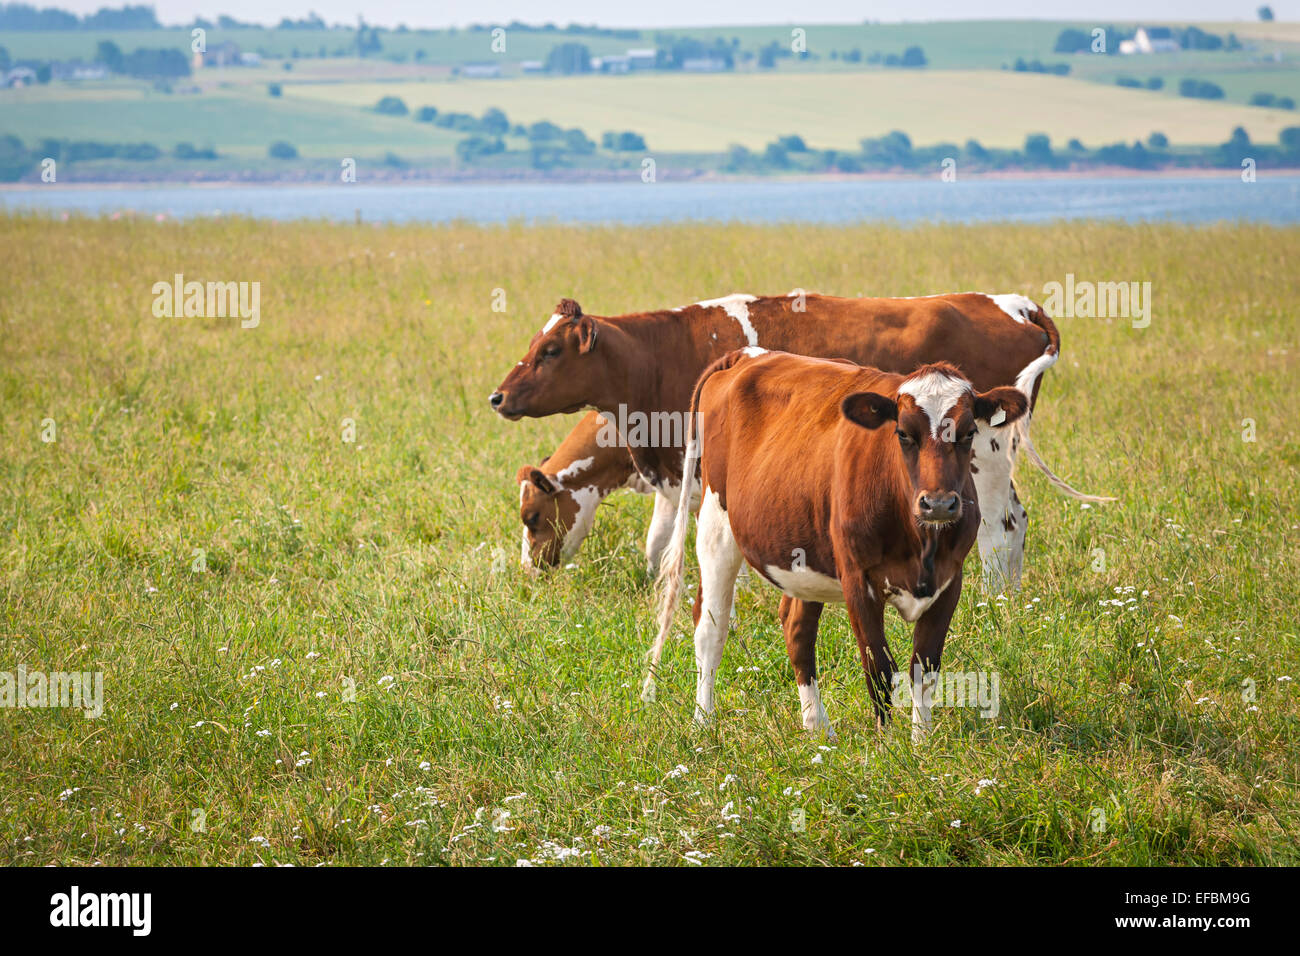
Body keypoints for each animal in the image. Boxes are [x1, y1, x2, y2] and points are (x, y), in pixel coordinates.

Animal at [647, 350, 1029, 740]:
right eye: (903, 433)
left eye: (969, 433)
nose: (938, 504)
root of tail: (744, 355)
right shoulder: (857, 579)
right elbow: (879, 669)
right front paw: (886, 743)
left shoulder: (950, 580)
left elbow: (924, 667)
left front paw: (921, 742)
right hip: (716, 525)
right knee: (711, 627)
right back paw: (703, 723)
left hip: (801, 551)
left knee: (797, 629)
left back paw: (817, 728)